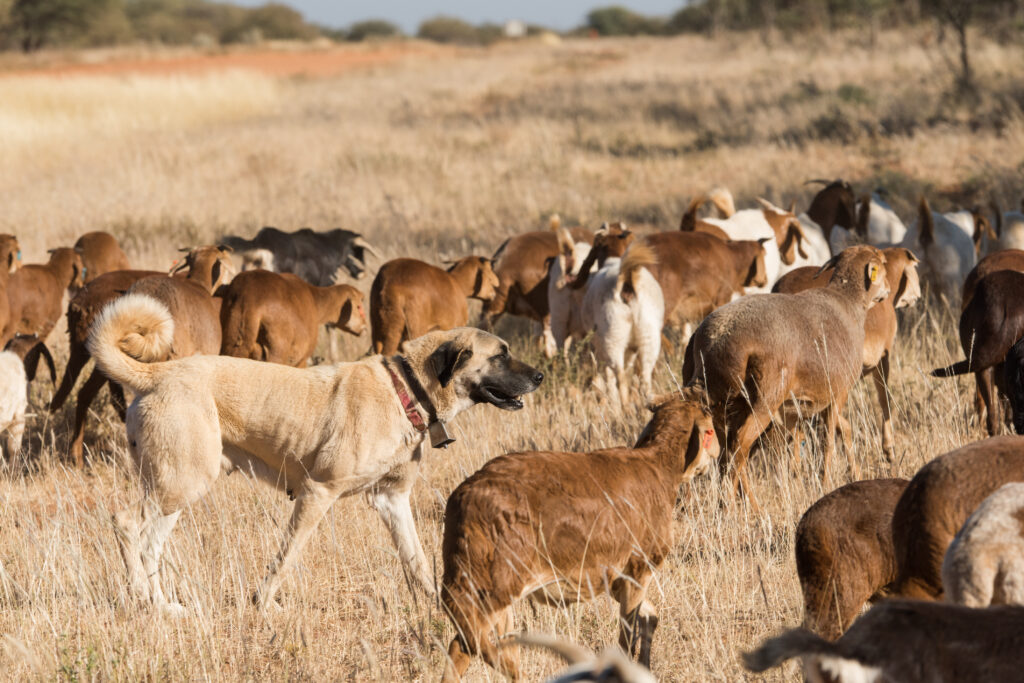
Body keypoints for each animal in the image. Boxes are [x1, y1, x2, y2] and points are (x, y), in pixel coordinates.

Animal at [86, 292, 544, 614]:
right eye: (500, 355)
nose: (540, 376)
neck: (406, 388)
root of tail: (157, 372)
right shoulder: (317, 493)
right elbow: (286, 557)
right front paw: (263, 605)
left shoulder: (391, 500)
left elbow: (416, 561)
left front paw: (441, 610)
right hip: (182, 484)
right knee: (126, 524)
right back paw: (142, 598)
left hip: (175, 490)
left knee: (150, 546)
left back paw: (162, 606)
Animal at [585, 244, 663, 405]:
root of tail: (626, 279)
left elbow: (609, 380)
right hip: (649, 339)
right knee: (645, 380)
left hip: (613, 341)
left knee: (620, 380)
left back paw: (624, 408)